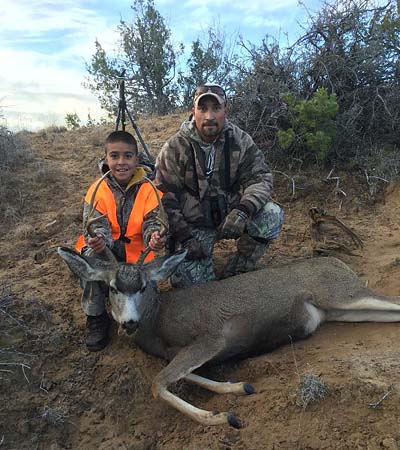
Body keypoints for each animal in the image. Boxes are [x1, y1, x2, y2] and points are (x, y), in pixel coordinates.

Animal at [57, 174, 400, 428]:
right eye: (112, 287)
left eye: (143, 286)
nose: (128, 323)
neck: (159, 320)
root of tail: (338, 262)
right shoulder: (175, 352)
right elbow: (183, 375)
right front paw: (238, 388)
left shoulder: (211, 337)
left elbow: (158, 383)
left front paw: (222, 416)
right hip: (339, 311)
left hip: (341, 292)